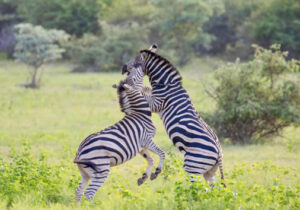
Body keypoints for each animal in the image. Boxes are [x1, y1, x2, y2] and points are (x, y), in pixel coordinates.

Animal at [122, 45, 225, 186]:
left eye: (137, 61)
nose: (123, 67)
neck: (166, 84)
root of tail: (219, 153)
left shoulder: (157, 104)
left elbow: (142, 93)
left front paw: (130, 87)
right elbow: (146, 89)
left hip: (193, 165)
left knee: (196, 188)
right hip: (210, 172)